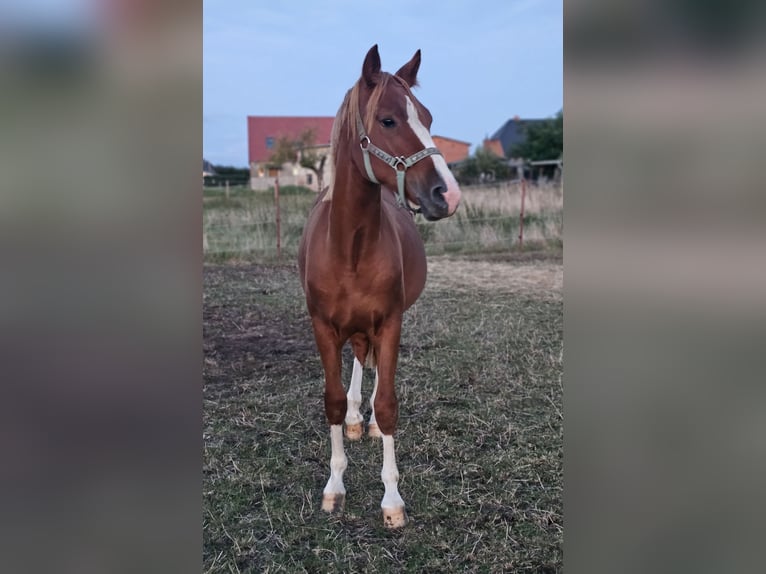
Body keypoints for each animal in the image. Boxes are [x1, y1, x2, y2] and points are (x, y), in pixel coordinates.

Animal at [296, 45, 460, 532]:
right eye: (388, 120)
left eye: (428, 116)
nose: (449, 194)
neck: (349, 246)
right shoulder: (322, 327)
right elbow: (332, 401)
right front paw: (334, 487)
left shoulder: (389, 322)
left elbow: (387, 406)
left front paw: (391, 499)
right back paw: (355, 417)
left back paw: (363, 419)